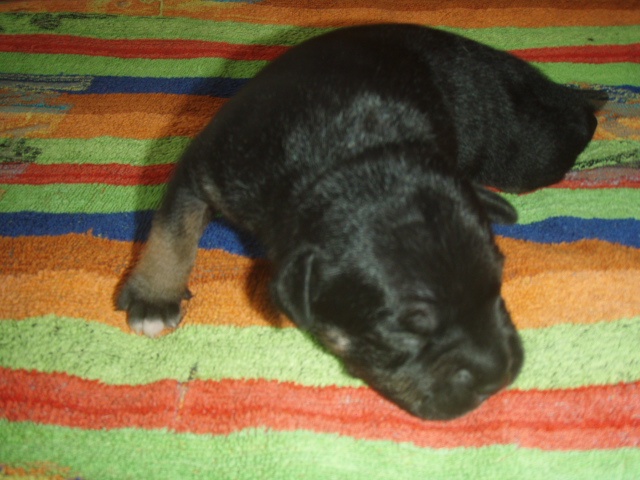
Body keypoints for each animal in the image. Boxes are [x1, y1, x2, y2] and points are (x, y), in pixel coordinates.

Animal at [117, 24, 602, 420]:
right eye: (406, 329)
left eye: (497, 285)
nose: (499, 376)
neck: (346, 159)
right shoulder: (206, 165)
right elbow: (172, 232)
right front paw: (154, 298)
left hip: (526, 148)